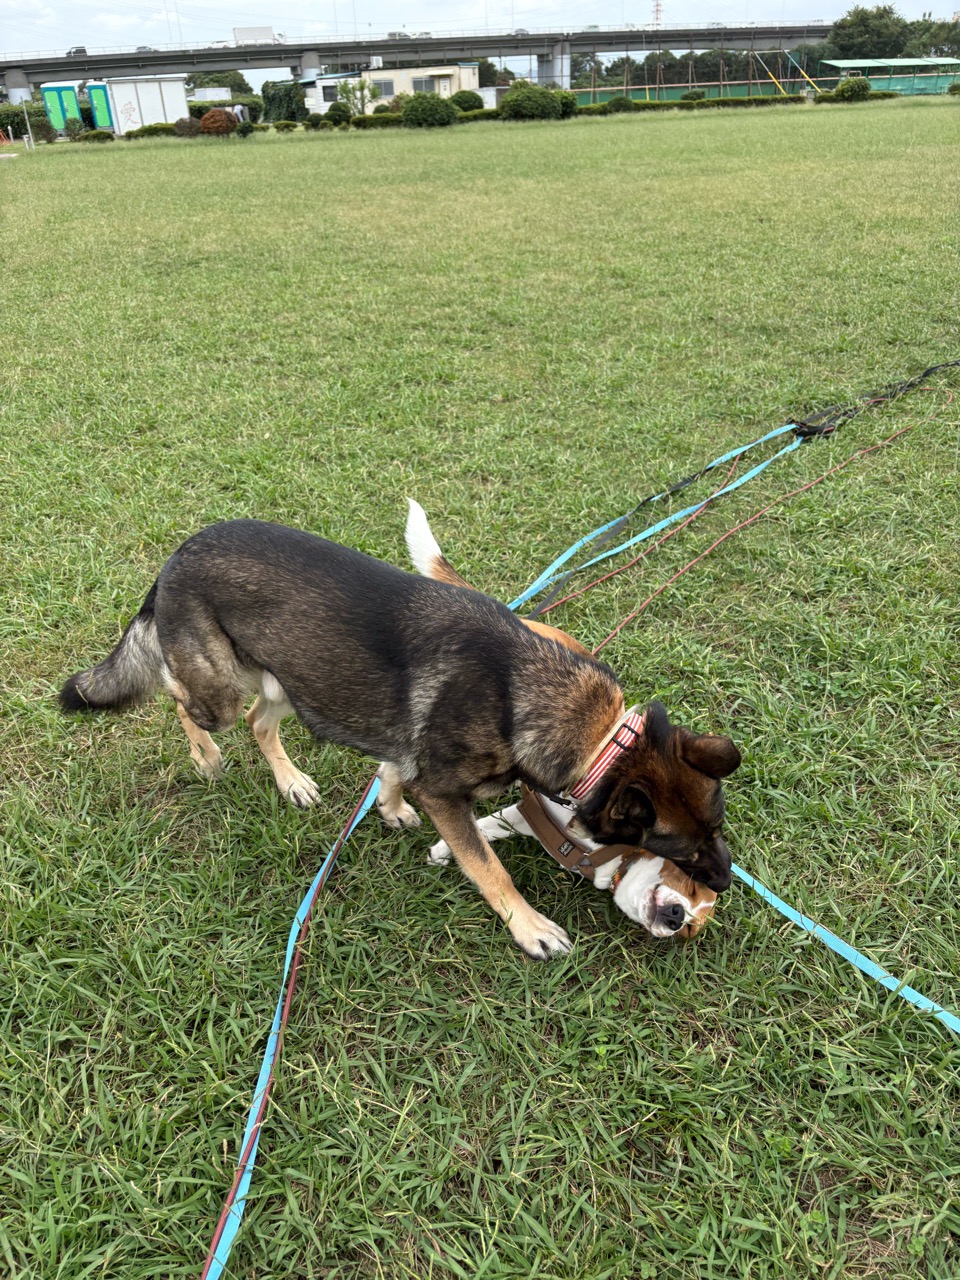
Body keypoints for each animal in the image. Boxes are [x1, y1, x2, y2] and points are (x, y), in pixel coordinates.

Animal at [60, 511, 740, 959]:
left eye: (717, 828)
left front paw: (388, 808)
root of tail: (178, 555)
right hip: (218, 687)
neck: (597, 738)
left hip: (290, 678)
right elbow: (490, 867)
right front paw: (529, 927)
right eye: (683, 851)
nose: (727, 883)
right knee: (177, 694)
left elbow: (391, 770)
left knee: (257, 721)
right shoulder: (446, 794)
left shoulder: (411, 754)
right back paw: (205, 756)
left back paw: (291, 781)